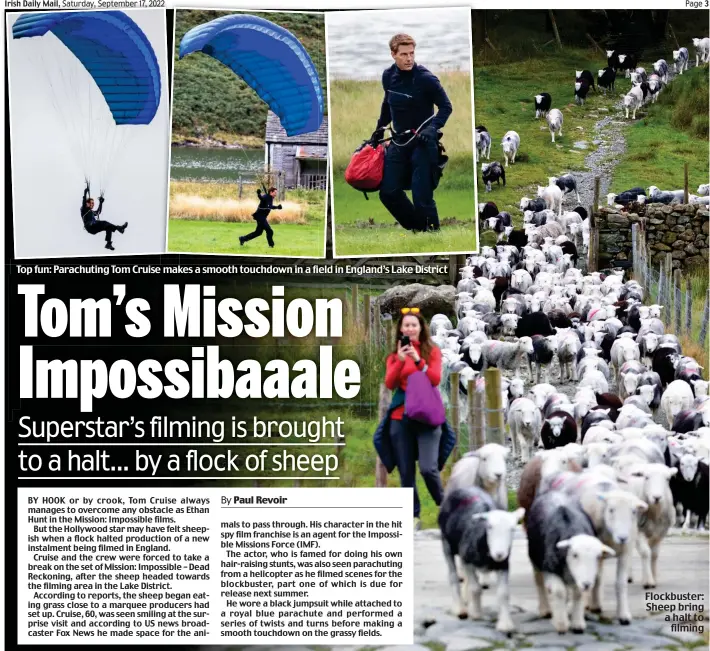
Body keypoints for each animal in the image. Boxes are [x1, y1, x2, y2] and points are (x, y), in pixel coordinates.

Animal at [436, 488, 524, 632]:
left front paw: (505, 624)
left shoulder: (504, 564)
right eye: (489, 527)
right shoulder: (468, 561)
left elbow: (503, 593)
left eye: (512, 529)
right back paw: (460, 608)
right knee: (453, 576)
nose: (499, 554)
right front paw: (477, 614)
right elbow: (475, 588)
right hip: (446, 543)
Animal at [528, 492, 616, 636]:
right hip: (535, 561)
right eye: (574, 555)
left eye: (598, 557)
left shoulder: (578, 579)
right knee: (539, 582)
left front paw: (577, 624)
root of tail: (553, 493)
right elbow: (559, 592)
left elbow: (578, 594)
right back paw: (545, 610)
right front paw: (561, 624)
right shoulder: (550, 568)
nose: (587, 584)